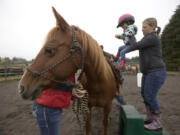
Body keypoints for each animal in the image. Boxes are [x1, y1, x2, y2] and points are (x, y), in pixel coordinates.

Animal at [18, 7, 120, 135]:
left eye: (49, 50)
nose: (21, 87)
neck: (99, 81)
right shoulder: (87, 106)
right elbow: (88, 126)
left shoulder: (108, 106)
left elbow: (105, 124)